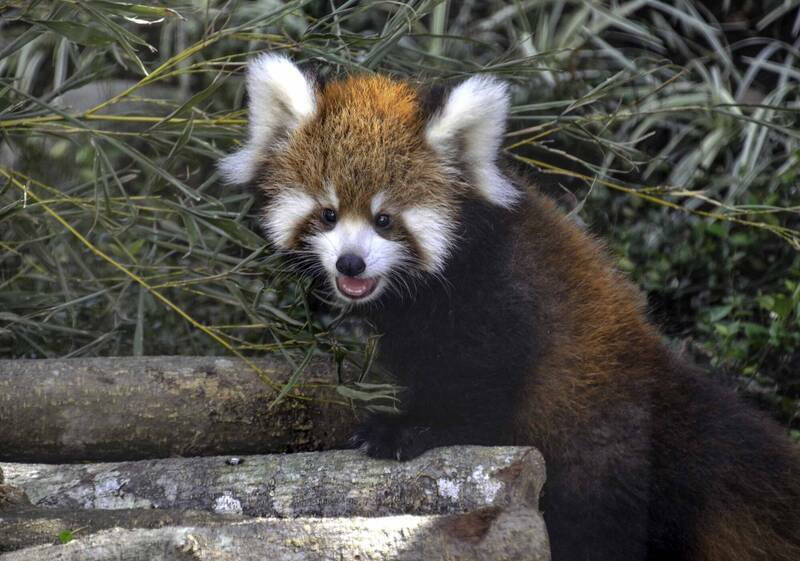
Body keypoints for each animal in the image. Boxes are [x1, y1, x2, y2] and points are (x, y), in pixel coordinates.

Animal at [220, 53, 800, 560]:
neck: (422, 292)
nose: (351, 264)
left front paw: (407, 429)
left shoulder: (501, 298)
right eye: (328, 214)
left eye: (385, 220)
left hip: (599, 452)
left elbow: (479, 387)